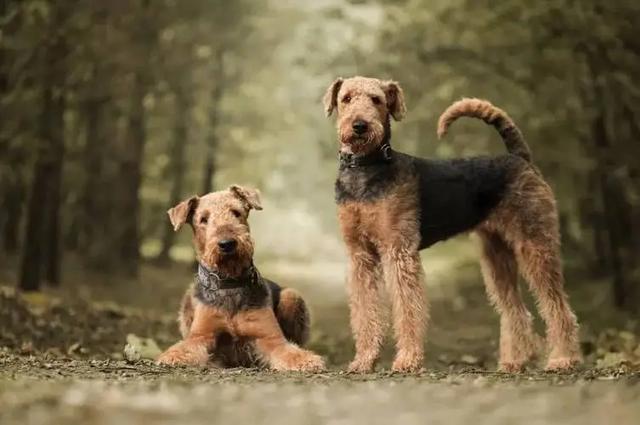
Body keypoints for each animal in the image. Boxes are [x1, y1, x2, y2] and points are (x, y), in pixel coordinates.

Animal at [156, 184, 324, 370]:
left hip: (291, 296)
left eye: (236, 212)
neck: (230, 282)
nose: (227, 244)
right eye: (203, 219)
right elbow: (185, 346)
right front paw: (172, 356)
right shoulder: (201, 335)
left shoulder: (270, 337)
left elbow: (290, 351)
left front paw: (307, 360)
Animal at [324, 76, 580, 372]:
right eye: (346, 98)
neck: (366, 168)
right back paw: (514, 361)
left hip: (535, 243)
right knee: (517, 310)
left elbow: (408, 308)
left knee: (558, 307)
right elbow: (365, 311)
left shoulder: (399, 251)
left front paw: (408, 359)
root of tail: (520, 158)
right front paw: (364, 360)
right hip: (496, 255)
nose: (359, 126)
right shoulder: (360, 255)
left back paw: (563, 358)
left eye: (376, 100)